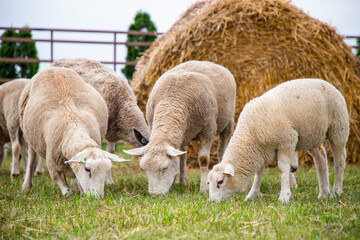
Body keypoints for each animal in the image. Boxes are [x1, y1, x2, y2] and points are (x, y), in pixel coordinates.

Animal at [19, 66, 129, 197]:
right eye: (87, 169)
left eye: (107, 170)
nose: (97, 197)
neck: (74, 127)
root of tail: (55, 68)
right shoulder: (52, 163)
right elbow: (60, 181)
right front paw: (68, 192)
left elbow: (77, 176)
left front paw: (79, 190)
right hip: (29, 134)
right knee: (31, 157)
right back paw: (26, 186)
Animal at [124, 61, 236, 196]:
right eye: (143, 169)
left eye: (165, 168)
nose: (155, 194)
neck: (172, 100)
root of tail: (207, 62)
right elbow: (179, 157)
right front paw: (175, 182)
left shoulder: (208, 130)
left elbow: (203, 159)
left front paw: (204, 188)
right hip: (184, 132)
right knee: (183, 155)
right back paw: (183, 181)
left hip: (227, 123)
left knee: (222, 149)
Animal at [207, 78, 350, 202]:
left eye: (220, 182)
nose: (212, 201)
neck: (250, 133)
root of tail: (326, 82)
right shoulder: (262, 150)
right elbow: (259, 173)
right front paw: (252, 195)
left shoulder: (287, 141)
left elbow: (282, 169)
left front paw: (284, 197)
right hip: (312, 136)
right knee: (321, 160)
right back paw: (323, 194)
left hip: (338, 127)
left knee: (340, 160)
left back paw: (336, 190)